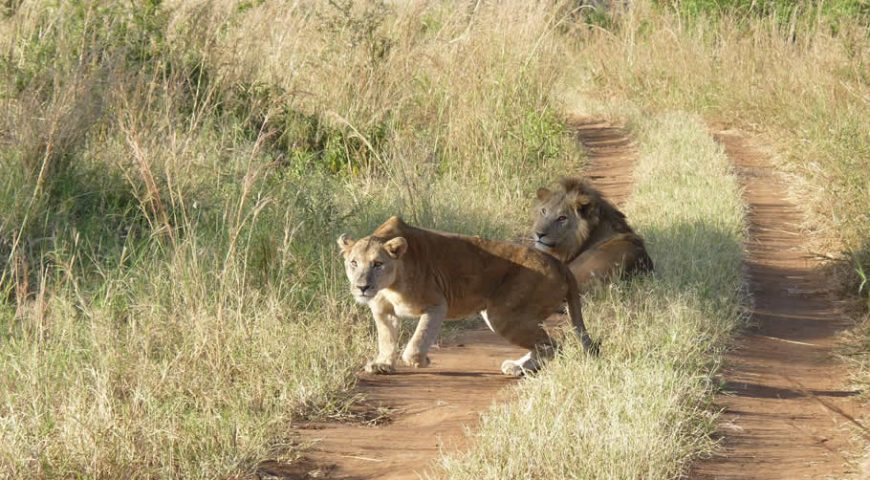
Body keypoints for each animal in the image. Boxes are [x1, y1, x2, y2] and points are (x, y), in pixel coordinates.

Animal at [338, 216, 596, 376]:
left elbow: (418, 339)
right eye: (354, 263)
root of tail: (558, 263)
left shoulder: (436, 303)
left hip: (504, 316)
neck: (388, 286)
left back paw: (521, 369)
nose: (362, 286)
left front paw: (421, 360)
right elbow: (387, 338)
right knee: (543, 343)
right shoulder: (383, 311)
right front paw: (382, 364)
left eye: (378, 264)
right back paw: (517, 366)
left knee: (552, 345)